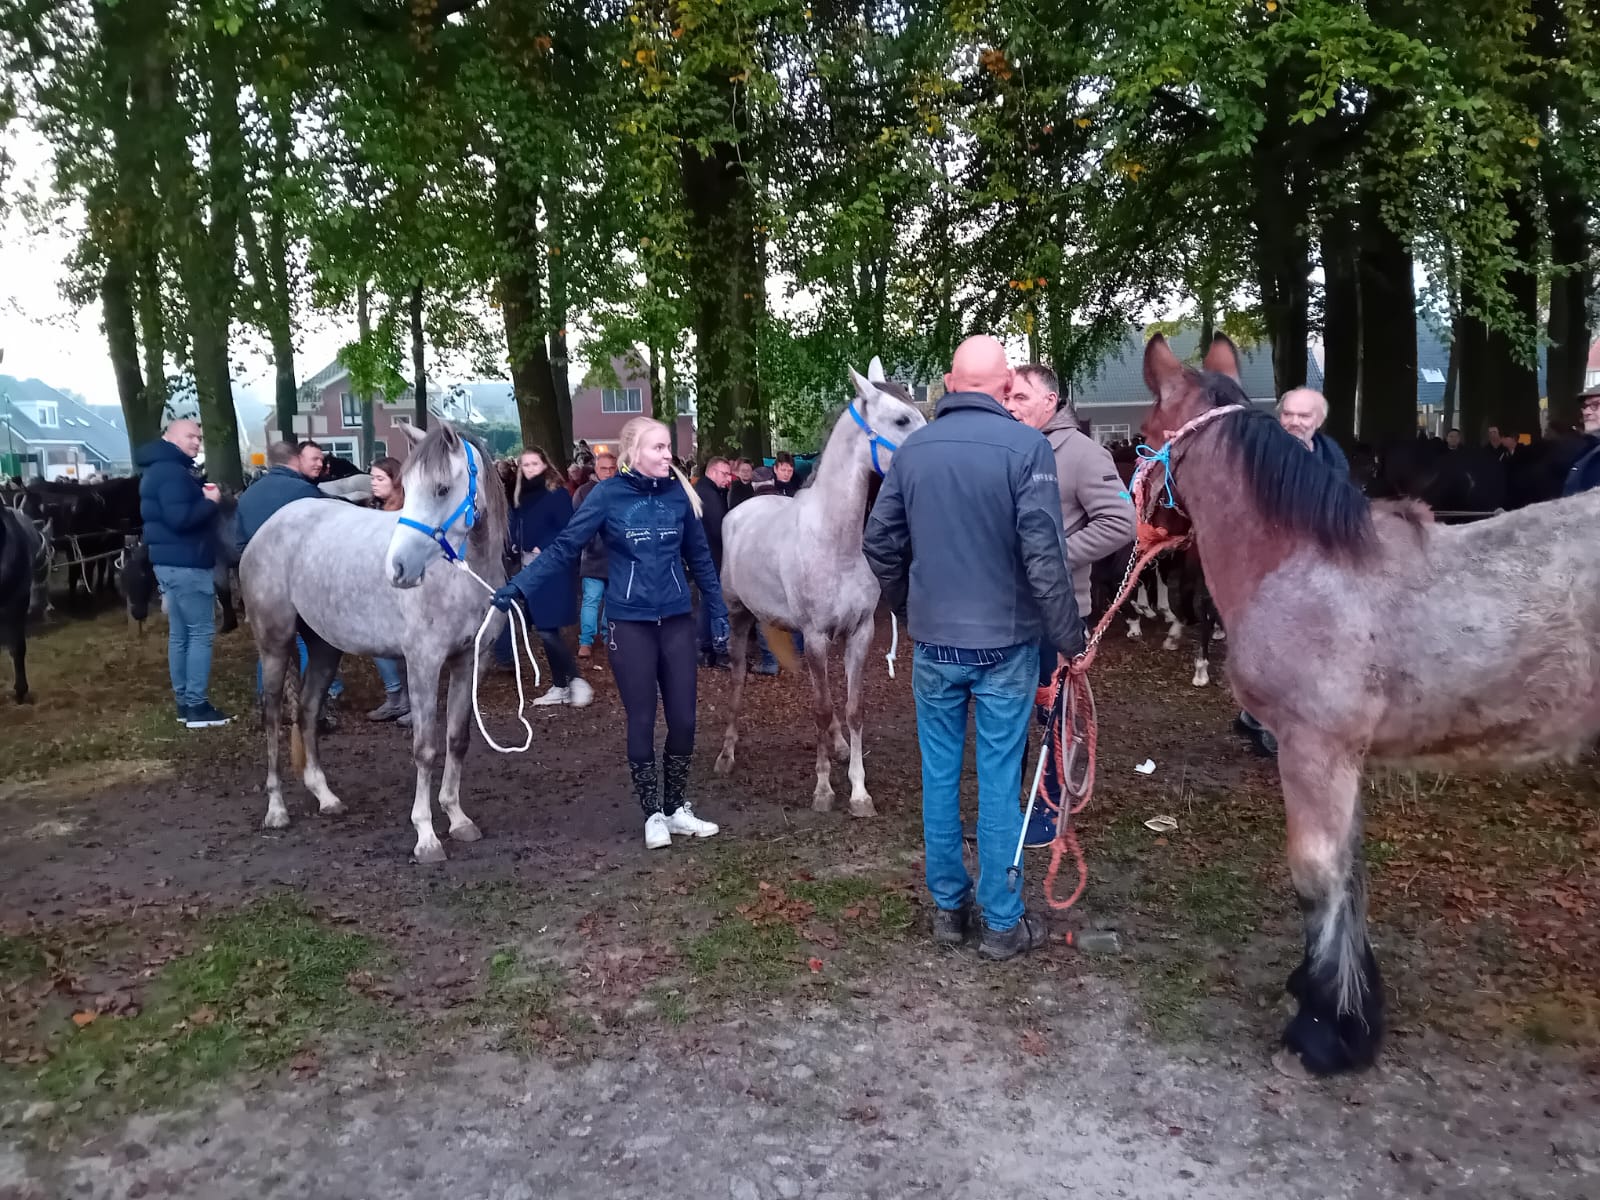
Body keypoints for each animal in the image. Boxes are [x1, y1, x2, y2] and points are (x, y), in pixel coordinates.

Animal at [238, 422, 505, 864]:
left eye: (441, 489)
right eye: (407, 488)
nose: (397, 568)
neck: (460, 573)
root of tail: (271, 525)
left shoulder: (469, 660)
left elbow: (457, 740)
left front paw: (457, 818)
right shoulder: (423, 662)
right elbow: (425, 747)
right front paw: (426, 836)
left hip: (325, 646)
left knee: (308, 711)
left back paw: (326, 797)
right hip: (275, 645)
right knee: (274, 716)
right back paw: (276, 809)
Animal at [713, 361, 928, 819]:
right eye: (901, 420)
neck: (835, 541)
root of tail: (742, 507)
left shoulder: (859, 633)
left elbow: (851, 708)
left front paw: (859, 791)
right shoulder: (813, 636)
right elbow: (821, 707)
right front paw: (824, 789)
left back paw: (840, 745)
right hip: (739, 617)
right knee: (739, 679)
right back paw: (726, 755)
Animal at [1139, 334, 1600, 1075]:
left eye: (1143, 439)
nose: (1145, 537)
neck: (1302, 563)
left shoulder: (1313, 750)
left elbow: (1317, 874)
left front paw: (1326, 1026)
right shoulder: (1342, 759)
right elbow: (1350, 871)